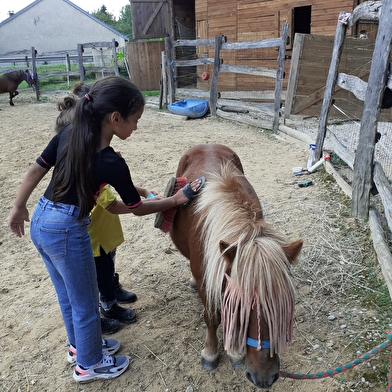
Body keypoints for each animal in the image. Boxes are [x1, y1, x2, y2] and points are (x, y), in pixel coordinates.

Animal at [169, 145, 304, 388]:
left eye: (285, 305)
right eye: (242, 306)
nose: (264, 378)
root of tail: (208, 144)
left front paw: (235, 353)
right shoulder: (206, 280)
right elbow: (212, 317)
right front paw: (211, 353)